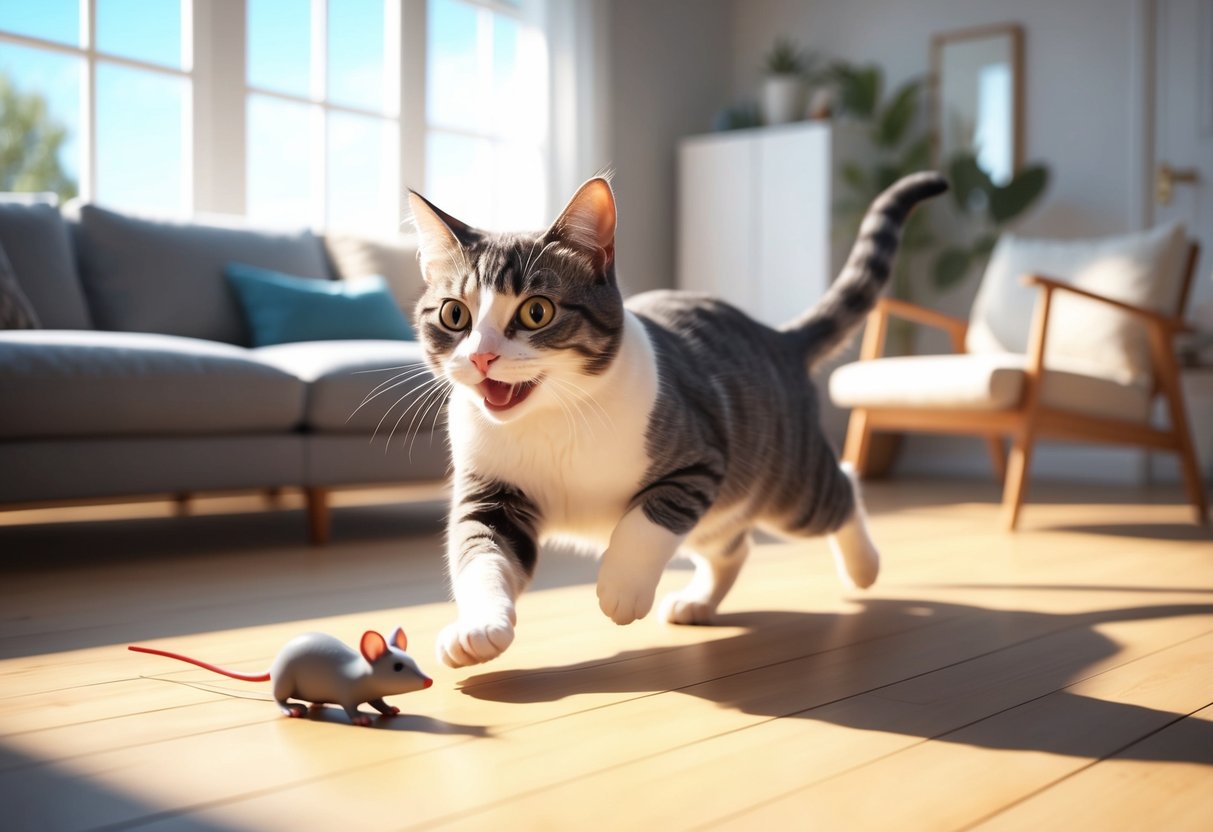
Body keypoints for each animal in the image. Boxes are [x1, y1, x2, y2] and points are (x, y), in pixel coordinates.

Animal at [407, 172, 946, 669]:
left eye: (536, 311)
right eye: (454, 315)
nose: (481, 357)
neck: (552, 418)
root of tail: (776, 337)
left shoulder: (699, 459)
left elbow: (646, 520)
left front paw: (622, 588)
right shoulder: (492, 491)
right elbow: (481, 552)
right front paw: (478, 628)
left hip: (786, 487)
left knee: (840, 488)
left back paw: (864, 568)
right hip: (722, 511)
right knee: (732, 547)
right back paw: (698, 601)